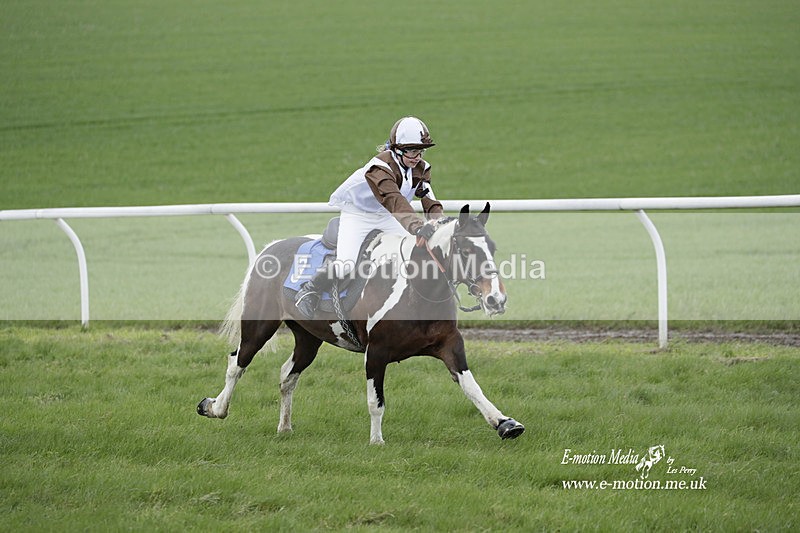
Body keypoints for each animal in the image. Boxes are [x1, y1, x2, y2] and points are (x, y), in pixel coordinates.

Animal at [197, 203, 524, 444]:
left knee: (287, 375)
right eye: (467, 250)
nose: (496, 298)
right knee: (237, 362)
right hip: (259, 326)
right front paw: (377, 442)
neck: (417, 288)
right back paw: (215, 407)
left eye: (492, 247)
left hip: (308, 338)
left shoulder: (448, 343)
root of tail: (269, 248)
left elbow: (471, 386)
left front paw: (504, 422)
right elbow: (375, 401)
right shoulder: (376, 351)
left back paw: (285, 427)